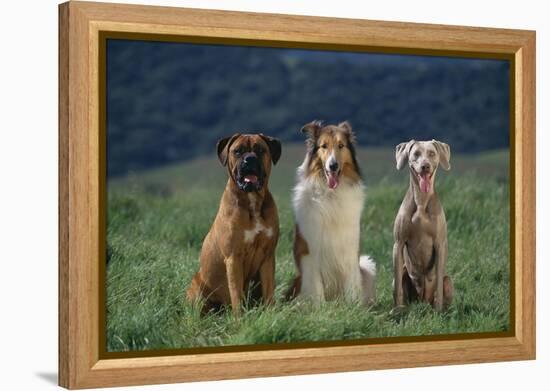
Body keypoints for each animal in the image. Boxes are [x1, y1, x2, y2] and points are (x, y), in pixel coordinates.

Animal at [189, 134, 282, 316]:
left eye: (260, 150)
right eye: (238, 151)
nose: (250, 159)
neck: (252, 202)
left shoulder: (267, 256)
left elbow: (269, 291)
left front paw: (271, 314)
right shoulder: (233, 258)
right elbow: (236, 293)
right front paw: (239, 318)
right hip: (197, 287)